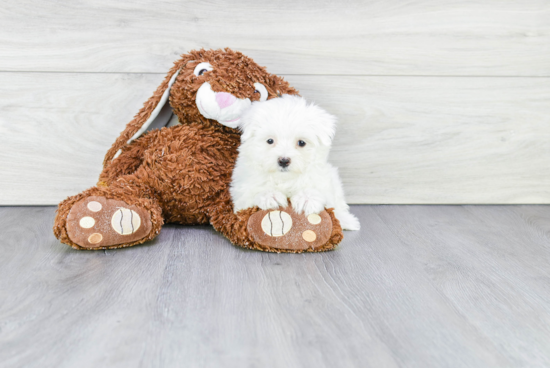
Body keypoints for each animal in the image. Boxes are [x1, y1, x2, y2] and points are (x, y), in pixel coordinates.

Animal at [230, 95, 362, 230]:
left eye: (301, 143)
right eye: (270, 141)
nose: (283, 160)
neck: (285, 179)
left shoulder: (322, 180)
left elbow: (320, 193)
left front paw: (306, 198)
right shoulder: (241, 190)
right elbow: (251, 195)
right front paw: (270, 195)